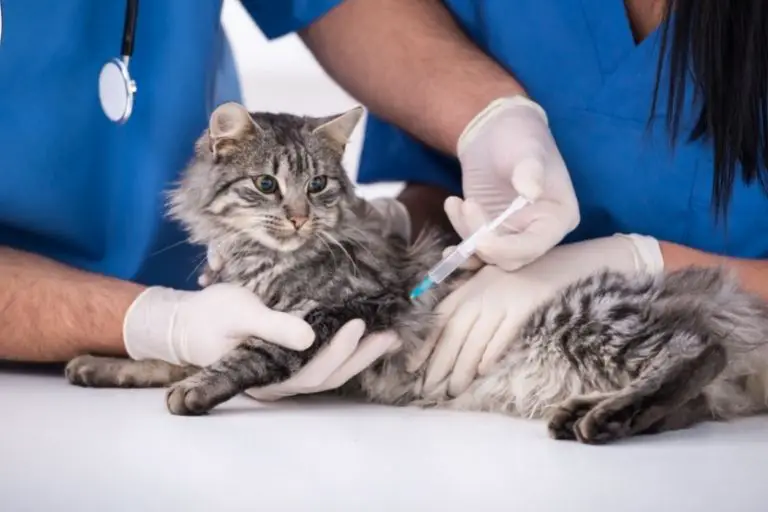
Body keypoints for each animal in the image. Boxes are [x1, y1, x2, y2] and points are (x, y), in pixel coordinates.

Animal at [63, 101, 768, 444]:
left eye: (317, 186)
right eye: (266, 185)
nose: (298, 217)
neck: (262, 262)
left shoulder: (355, 308)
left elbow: (252, 353)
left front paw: (198, 389)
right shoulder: (228, 311)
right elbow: (178, 348)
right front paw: (107, 363)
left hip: (590, 318)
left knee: (696, 354)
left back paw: (607, 418)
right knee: (690, 401)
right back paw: (592, 413)